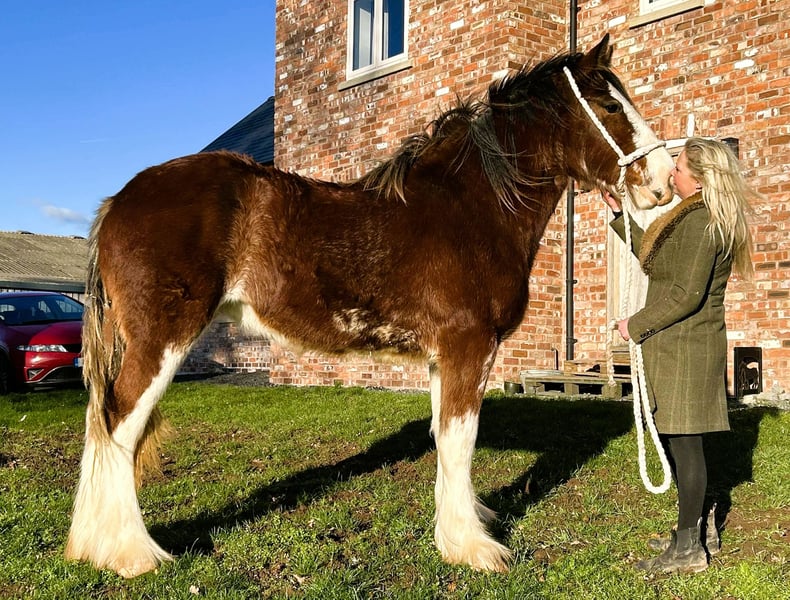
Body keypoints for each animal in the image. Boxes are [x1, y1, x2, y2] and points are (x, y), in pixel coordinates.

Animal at [66, 34, 674, 578]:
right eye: (610, 105)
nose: (666, 181)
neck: (470, 207)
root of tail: (118, 201)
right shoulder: (468, 346)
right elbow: (461, 440)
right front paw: (473, 548)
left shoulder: (444, 357)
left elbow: (445, 440)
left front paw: (461, 527)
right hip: (162, 338)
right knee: (118, 426)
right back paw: (132, 554)